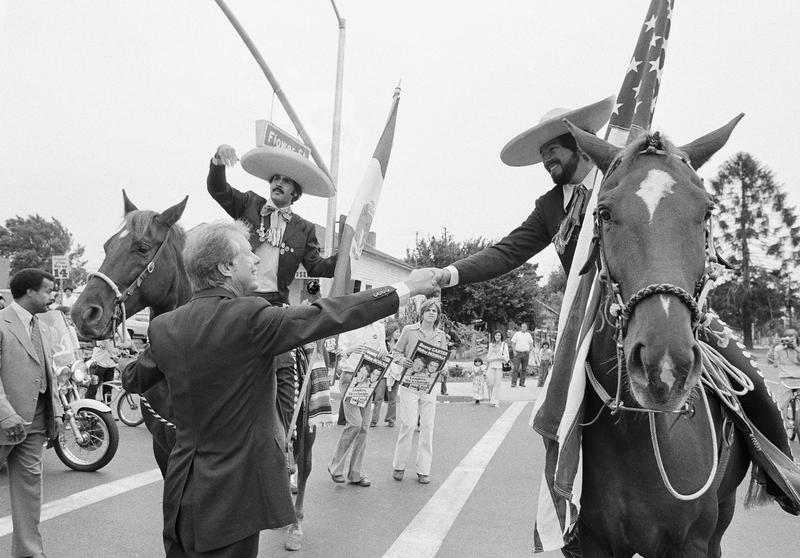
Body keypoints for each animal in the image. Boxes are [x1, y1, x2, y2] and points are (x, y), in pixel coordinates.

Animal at [70, 192, 316, 552]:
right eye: (106, 246)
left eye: (142, 247)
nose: (83, 314)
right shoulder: (165, 449)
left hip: (307, 424)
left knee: (305, 464)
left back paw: (296, 524)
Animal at [560, 116, 752, 556]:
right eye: (605, 213)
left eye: (706, 212)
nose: (665, 367)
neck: (638, 435)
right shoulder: (594, 542)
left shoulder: (692, 543)